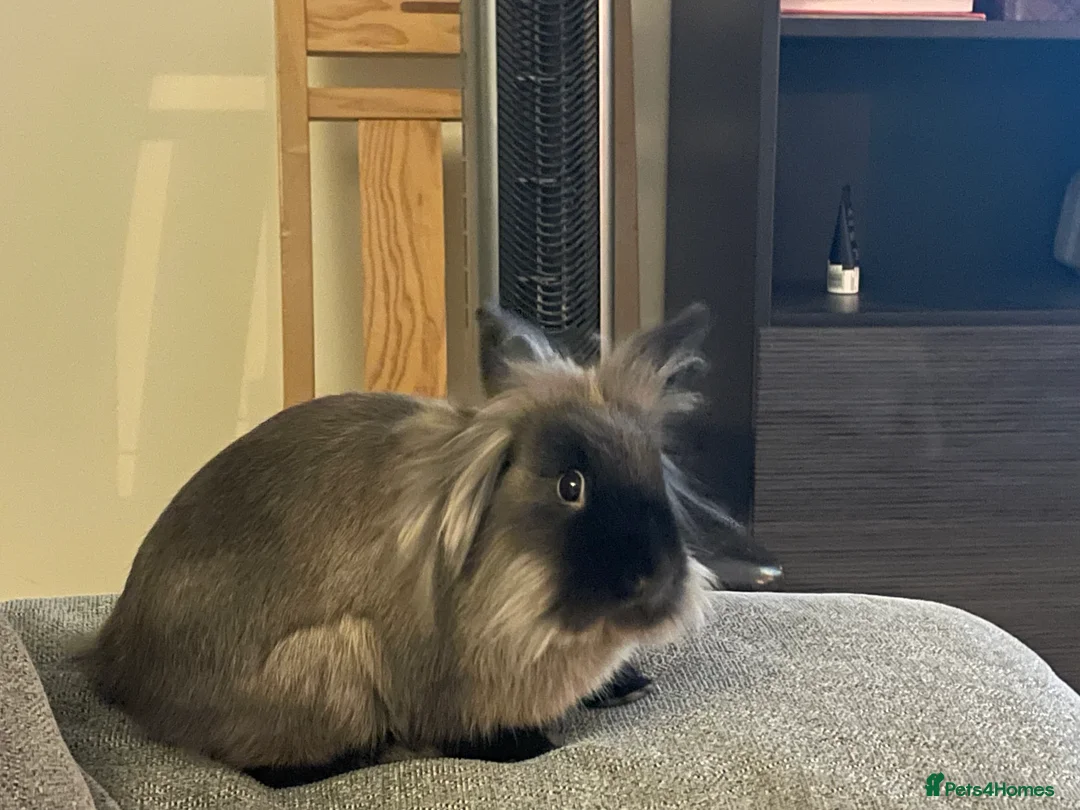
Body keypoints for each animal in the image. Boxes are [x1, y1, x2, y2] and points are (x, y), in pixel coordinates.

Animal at [73, 301, 723, 782]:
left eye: (654, 470)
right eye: (570, 485)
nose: (655, 580)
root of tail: (118, 664)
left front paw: (628, 686)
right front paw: (533, 749)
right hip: (329, 667)